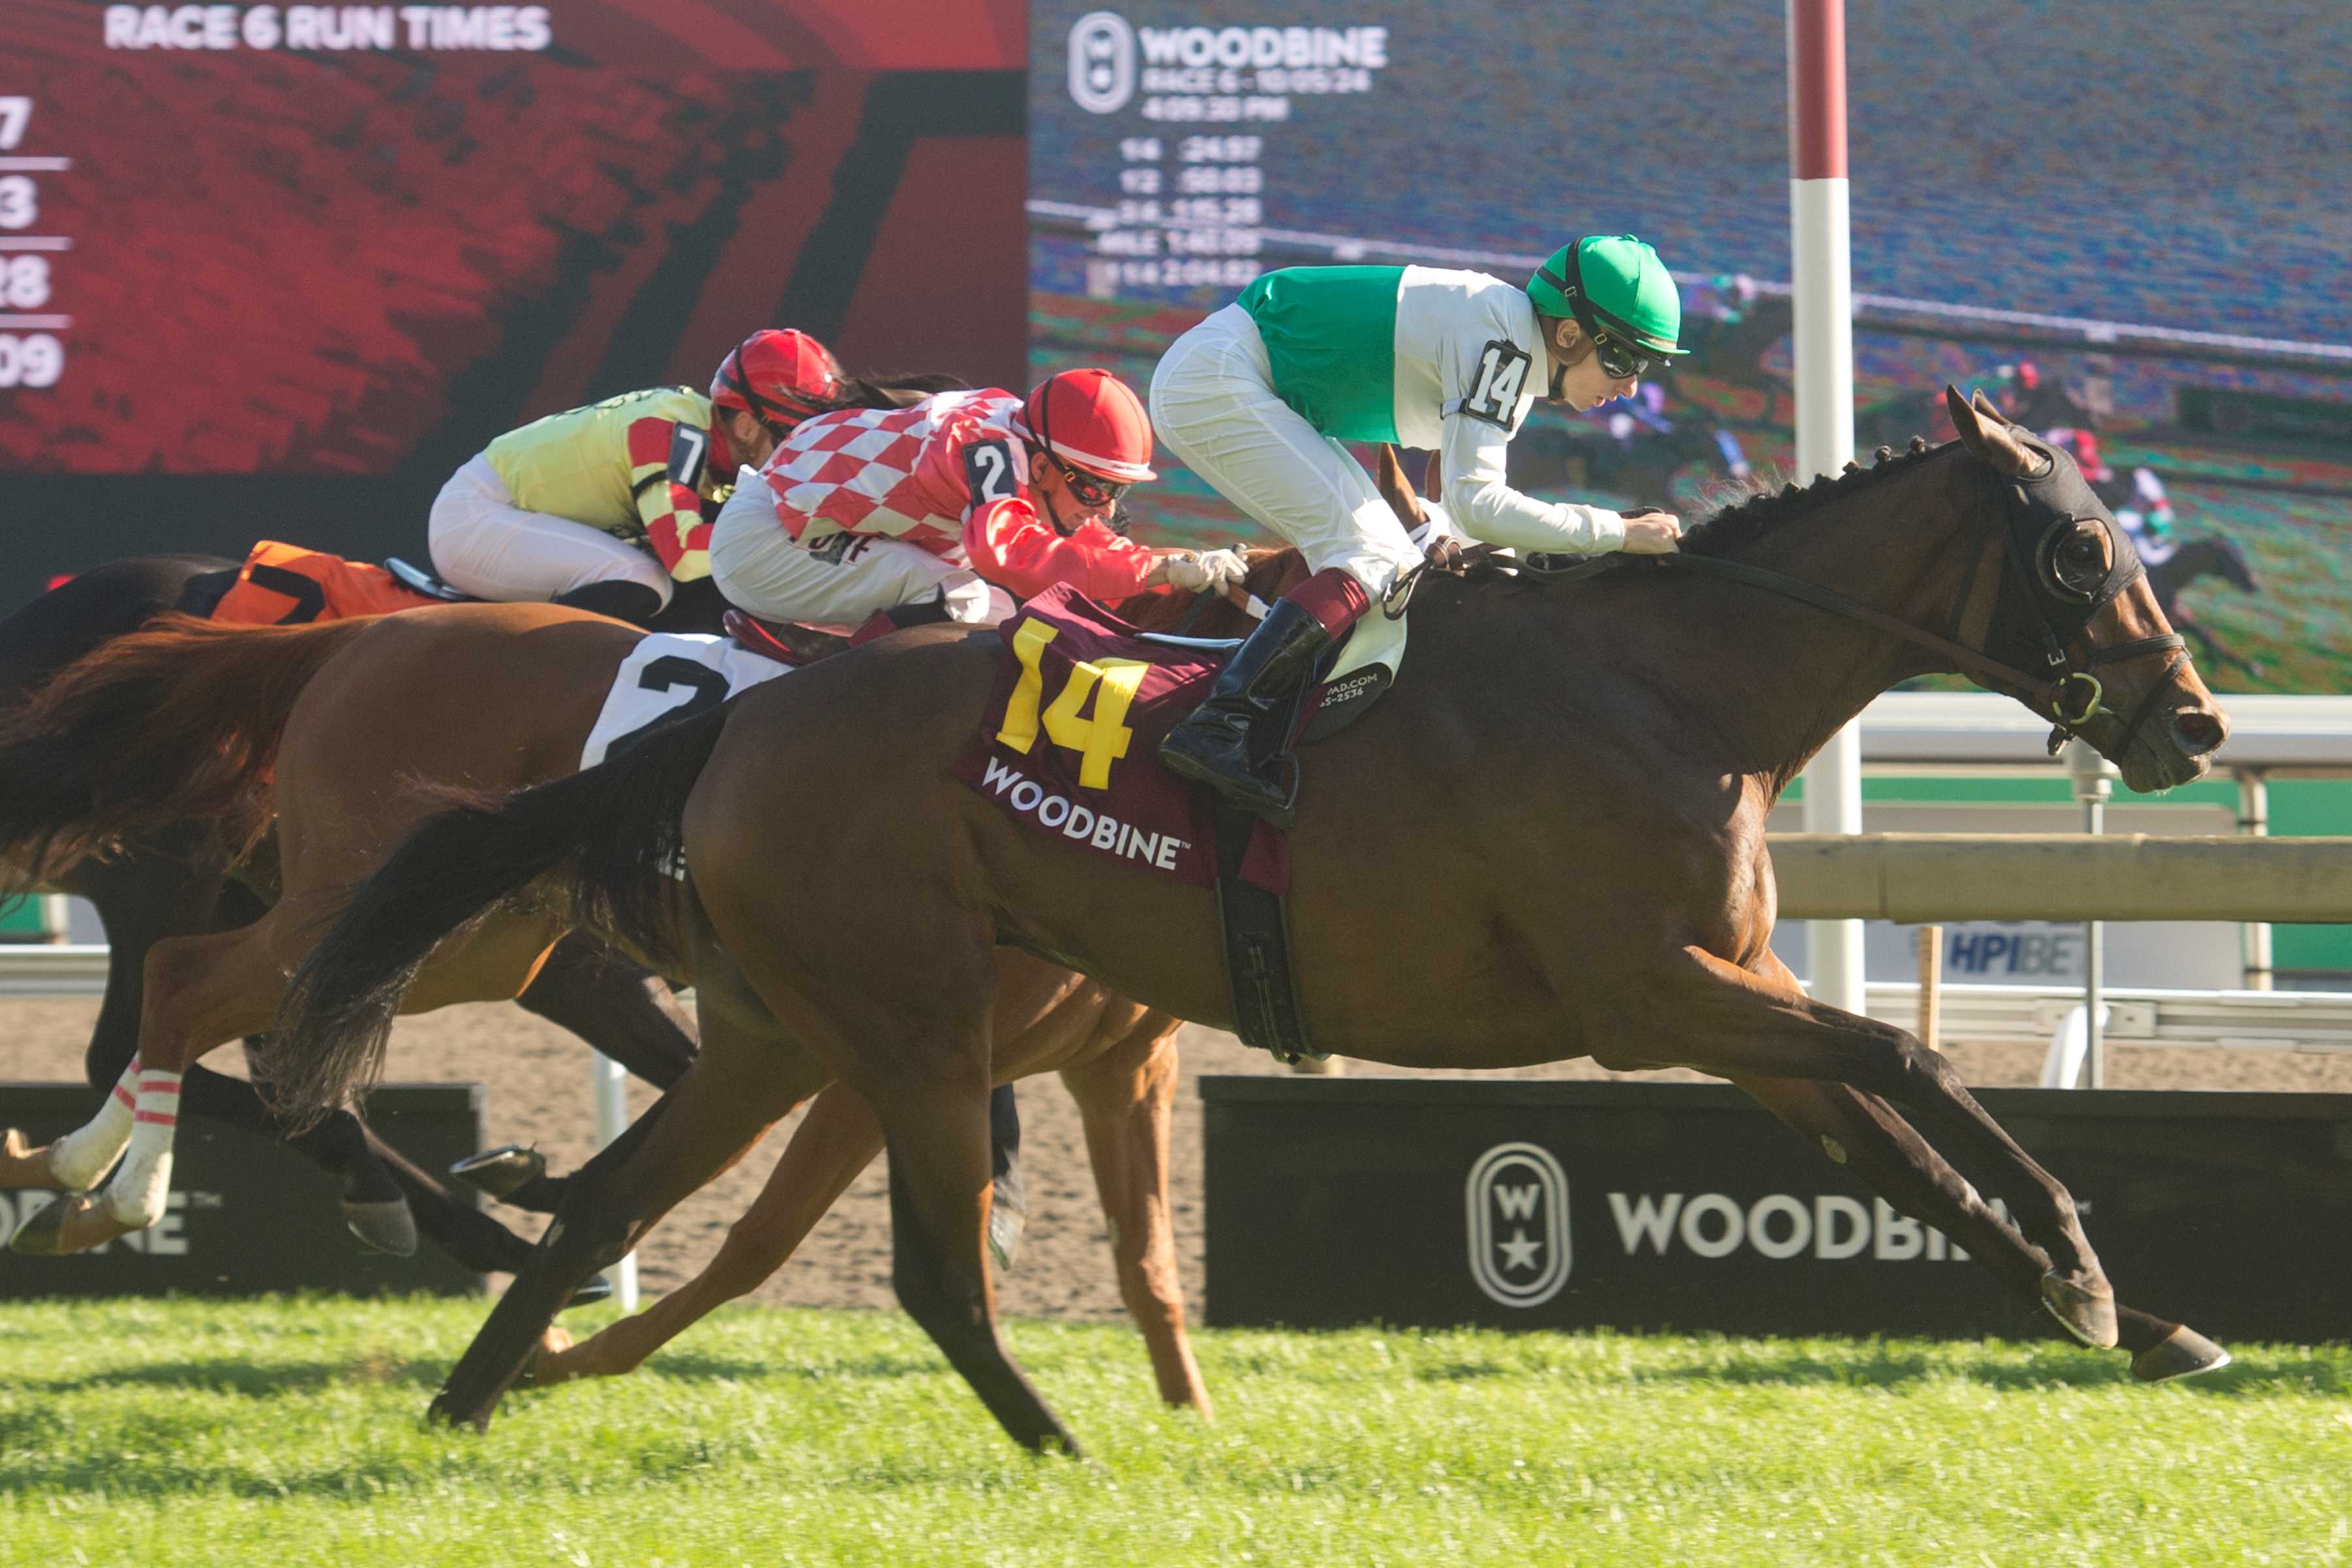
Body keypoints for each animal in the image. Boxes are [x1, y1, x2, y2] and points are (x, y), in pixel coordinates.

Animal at [270, 392, 2220, 1457]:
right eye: (2075, 549)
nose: (2195, 721)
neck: (1669, 689)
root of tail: (727, 723)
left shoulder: (1725, 990)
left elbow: (1898, 1139)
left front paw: (2123, 1311)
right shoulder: (1653, 992)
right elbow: (1909, 1059)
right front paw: (2089, 1267)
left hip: (775, 1031)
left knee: (613, 1198)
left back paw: (468, 1396)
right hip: (907, 1027)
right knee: (920, 1266)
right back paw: (1055, 1444)